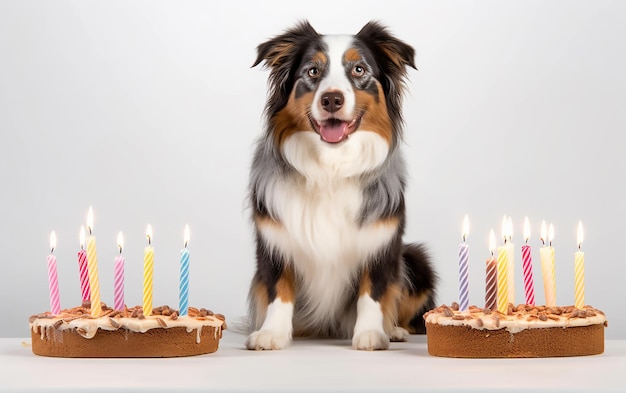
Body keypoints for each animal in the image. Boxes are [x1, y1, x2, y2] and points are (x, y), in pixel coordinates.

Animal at [244, 19, 434, 350]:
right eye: (312, 71)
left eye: (359, 69)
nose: (331, 99)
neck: (330, 167)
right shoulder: (274, 239)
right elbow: (278, 288)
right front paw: (272, 333)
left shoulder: (380, 241)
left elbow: (373, 291)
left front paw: (370, 334)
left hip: (416, 259)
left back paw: (394, 330)